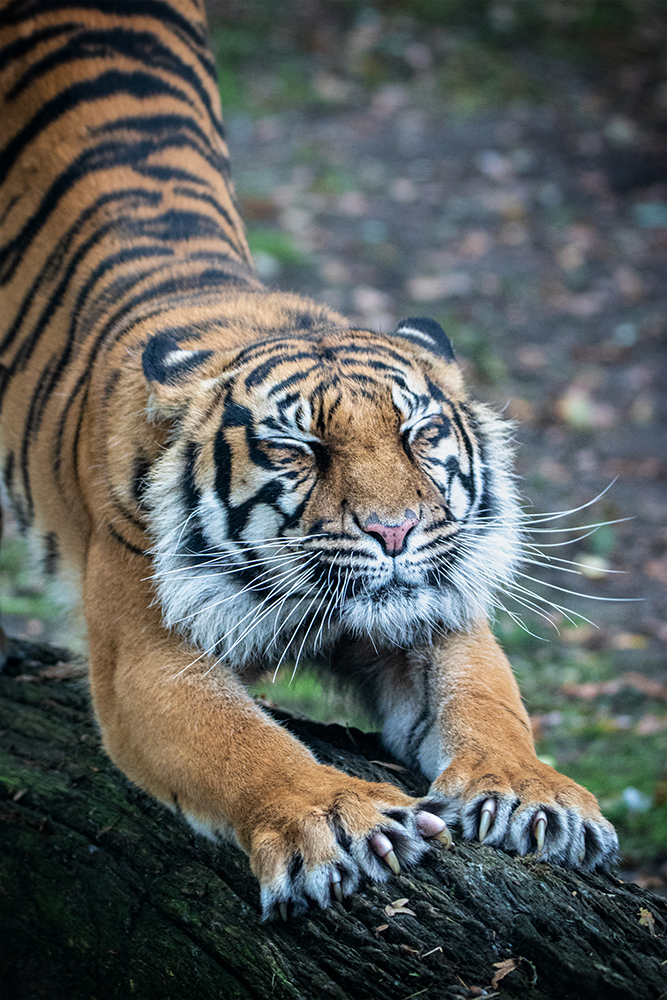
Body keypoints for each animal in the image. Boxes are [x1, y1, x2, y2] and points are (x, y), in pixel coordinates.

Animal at [0, 0, 620, 920]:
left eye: (417, 434)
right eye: (299, 450)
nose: (396, 533)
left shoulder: (433, 615)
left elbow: (488, 702)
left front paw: (531, 792)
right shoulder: (146, 656)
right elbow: (239, 743)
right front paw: (337, 817)